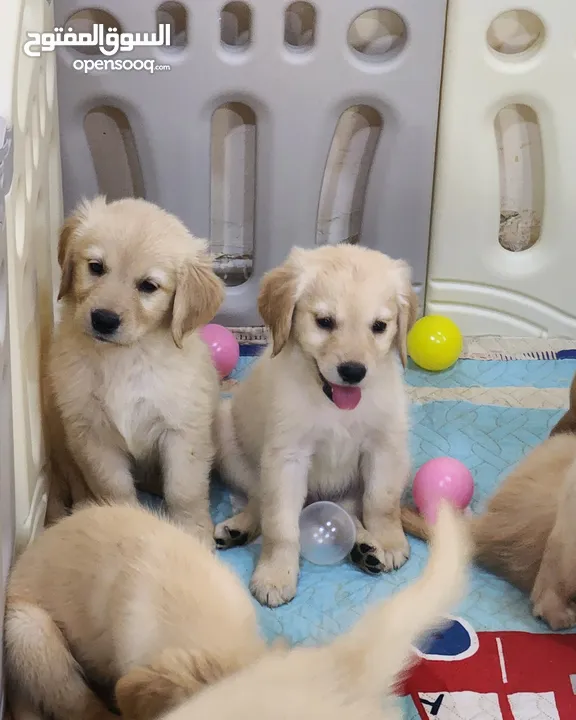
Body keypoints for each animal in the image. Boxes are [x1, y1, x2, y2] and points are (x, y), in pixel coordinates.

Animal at [44, 194, 225, 544]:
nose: (104, 319)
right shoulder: (91, 434)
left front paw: (192, 532)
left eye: (148, 286)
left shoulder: (183, 430)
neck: (125, 357)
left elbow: (184, 489)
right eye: (96, 267)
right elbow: (113, 487)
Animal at [214, 246, 416, 608]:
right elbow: (280, 524)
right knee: (259, 500)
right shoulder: (287, 456)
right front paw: (276, 573)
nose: (353, 371)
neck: (334, 403)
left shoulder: (386, 446)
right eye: (324, 322)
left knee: (347, 511)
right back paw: (238, 528)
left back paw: (365, 547)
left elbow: (381, 502)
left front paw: (389, 541)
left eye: (379, 326)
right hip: (229, 438)